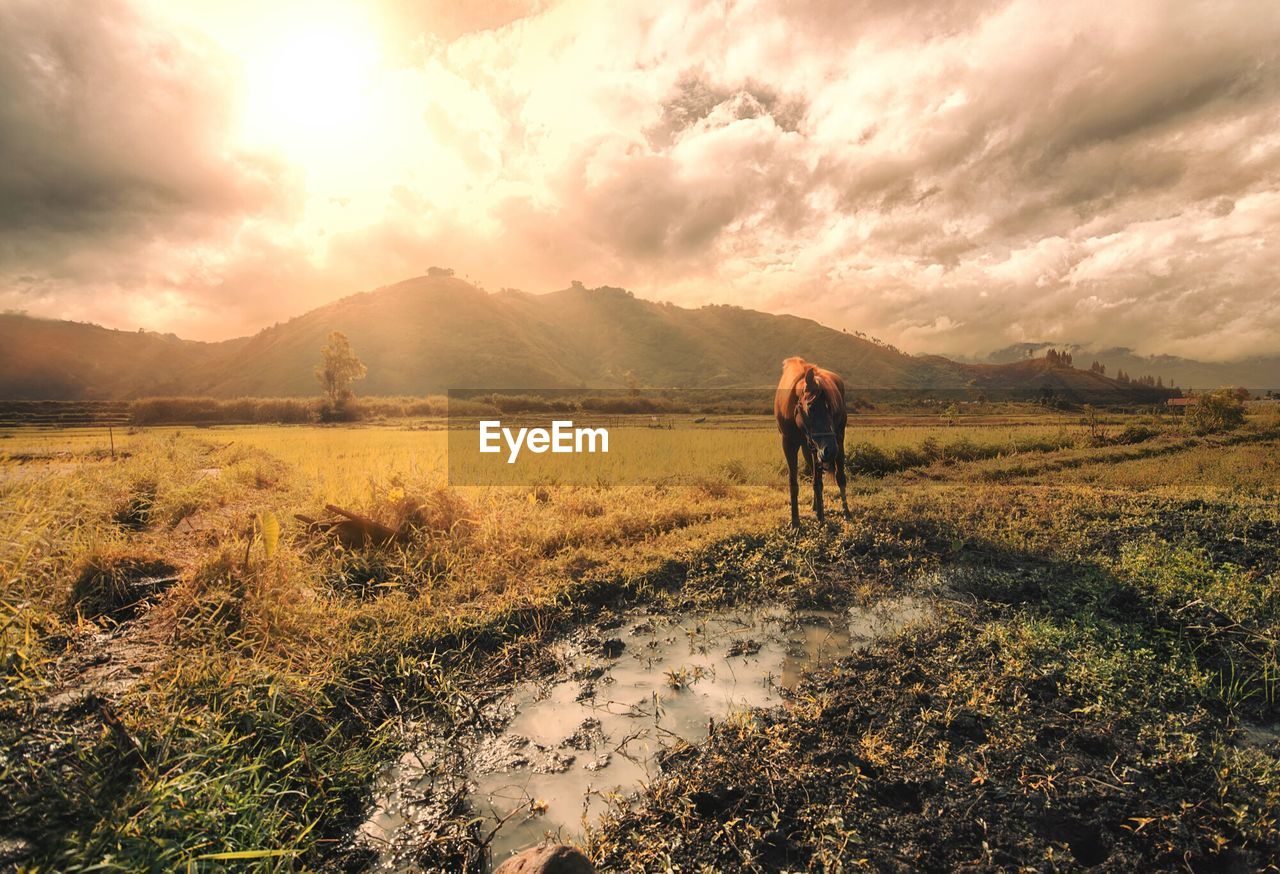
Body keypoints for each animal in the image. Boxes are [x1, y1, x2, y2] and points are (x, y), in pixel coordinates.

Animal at [768, 358, 849, 527]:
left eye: (831, 408)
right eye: (811, 407)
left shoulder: (818, 449)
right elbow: (795, 482)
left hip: (838, 438)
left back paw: (846, 513)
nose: (831, 450)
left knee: (840, 477)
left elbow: (818, 482)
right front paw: (795, 521)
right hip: (810, 449)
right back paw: (815, 506)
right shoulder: (789, 444)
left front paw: (821, 518)